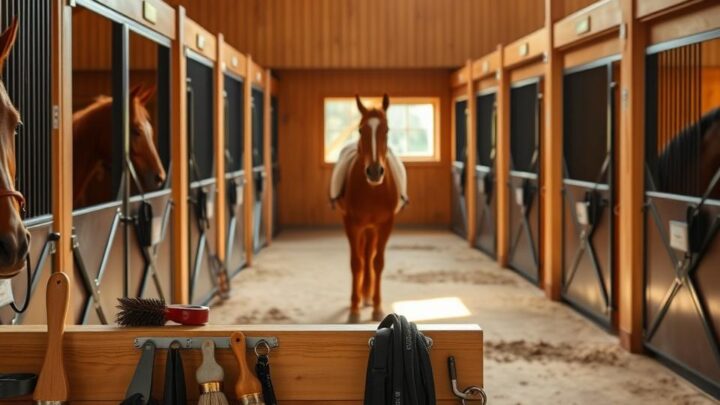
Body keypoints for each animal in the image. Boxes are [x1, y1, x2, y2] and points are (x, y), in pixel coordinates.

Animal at [332, 94, 407, 323]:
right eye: (360, 130)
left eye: (387, 130)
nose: (374, 172)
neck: (372, 190)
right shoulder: (352, 224)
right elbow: (356, 263)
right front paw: (354, 310)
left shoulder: (385, 225)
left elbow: (378, 263)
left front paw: (377, 307)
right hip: (364, 228)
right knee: (363, 256)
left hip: (372, 229)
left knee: (369, 256)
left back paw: (368, 297)